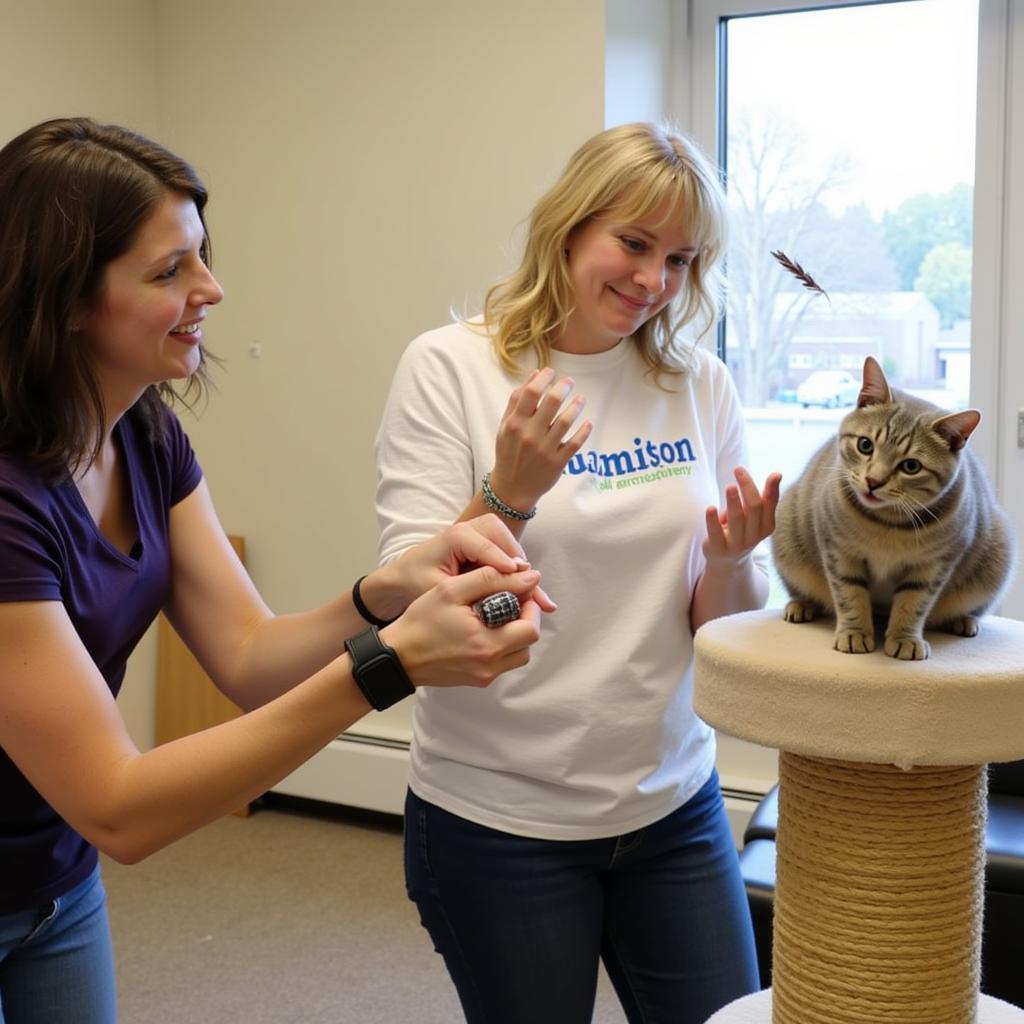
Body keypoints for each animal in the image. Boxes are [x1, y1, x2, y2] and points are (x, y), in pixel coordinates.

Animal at [774, 356, 1015, 659]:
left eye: (911, 466)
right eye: (865, 445)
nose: (873, 481)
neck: (887, 524)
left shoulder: (935, 565)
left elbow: (913, 603)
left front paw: (904, 638)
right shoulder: (838, 551)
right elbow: (849, 594)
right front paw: (854, 632)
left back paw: (963, 620)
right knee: (801, 589)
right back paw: (801, 605)